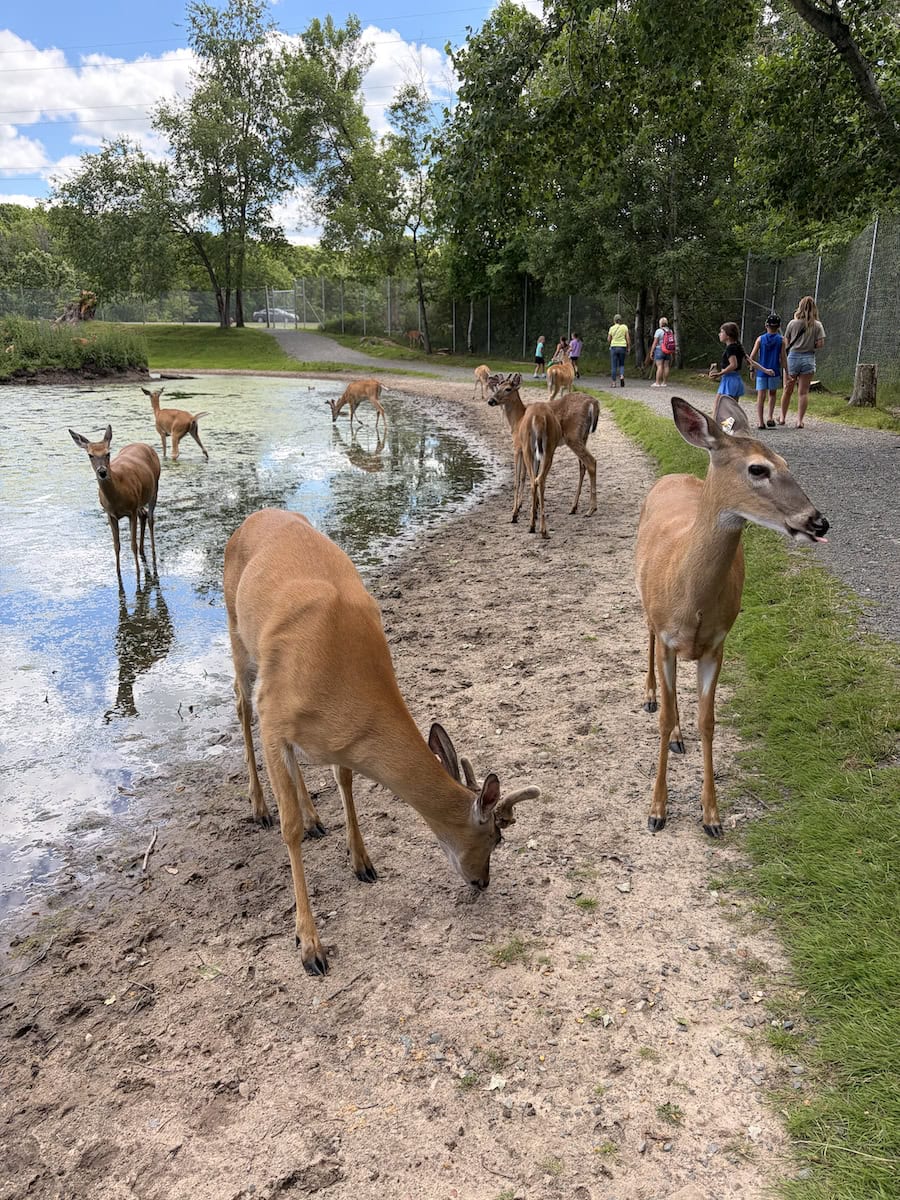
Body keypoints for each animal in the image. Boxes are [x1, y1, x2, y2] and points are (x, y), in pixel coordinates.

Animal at [69, 425, 161, 586]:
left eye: (108, 453)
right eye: (90, 455)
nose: (102, 472)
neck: (117, 498)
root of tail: (144, 444)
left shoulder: (131, 510)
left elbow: (132, 544)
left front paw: (137, 573)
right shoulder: (109, 514)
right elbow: (116, 545)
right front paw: (117, 573)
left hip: (155, 486)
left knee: (150, 518)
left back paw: (153, 552)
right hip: (139, 500)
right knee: (143, 515)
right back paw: (143, 550)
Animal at [224, 508, 539, 975]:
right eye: (496, 838)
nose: (482, 882)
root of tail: (251, 518)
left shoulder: (339, 736)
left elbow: (345, 781)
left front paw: (362, 863)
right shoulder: (274, 713)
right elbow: (289, 828)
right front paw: (310, 945)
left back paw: (317, 819)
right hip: (237, 634)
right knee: (240, 705)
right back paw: (260, 808)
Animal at [487, 372, 599, 516]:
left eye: (508, 389)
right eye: (497, 386)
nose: (491, 401)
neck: (517, 419)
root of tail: (593, 403)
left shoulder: (517, 446)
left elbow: (518, 479)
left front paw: (515, 509)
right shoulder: (532, 450)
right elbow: (527, 476)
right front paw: (529, 505)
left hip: (572, 436)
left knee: (591, 462)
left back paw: (591, 509)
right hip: (583, 436)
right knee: (582, 466)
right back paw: (574, 507)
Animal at [636, 396, 829, 838]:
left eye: (787, 462)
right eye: (758, 468)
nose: (818, 521)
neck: (690, 599)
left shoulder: (718, 643)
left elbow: (708, 721)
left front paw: (712, 816)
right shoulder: (669, 637)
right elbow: (666, 716)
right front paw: (657, 810)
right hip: (645, 601)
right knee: (648, 639)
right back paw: (651, 697)